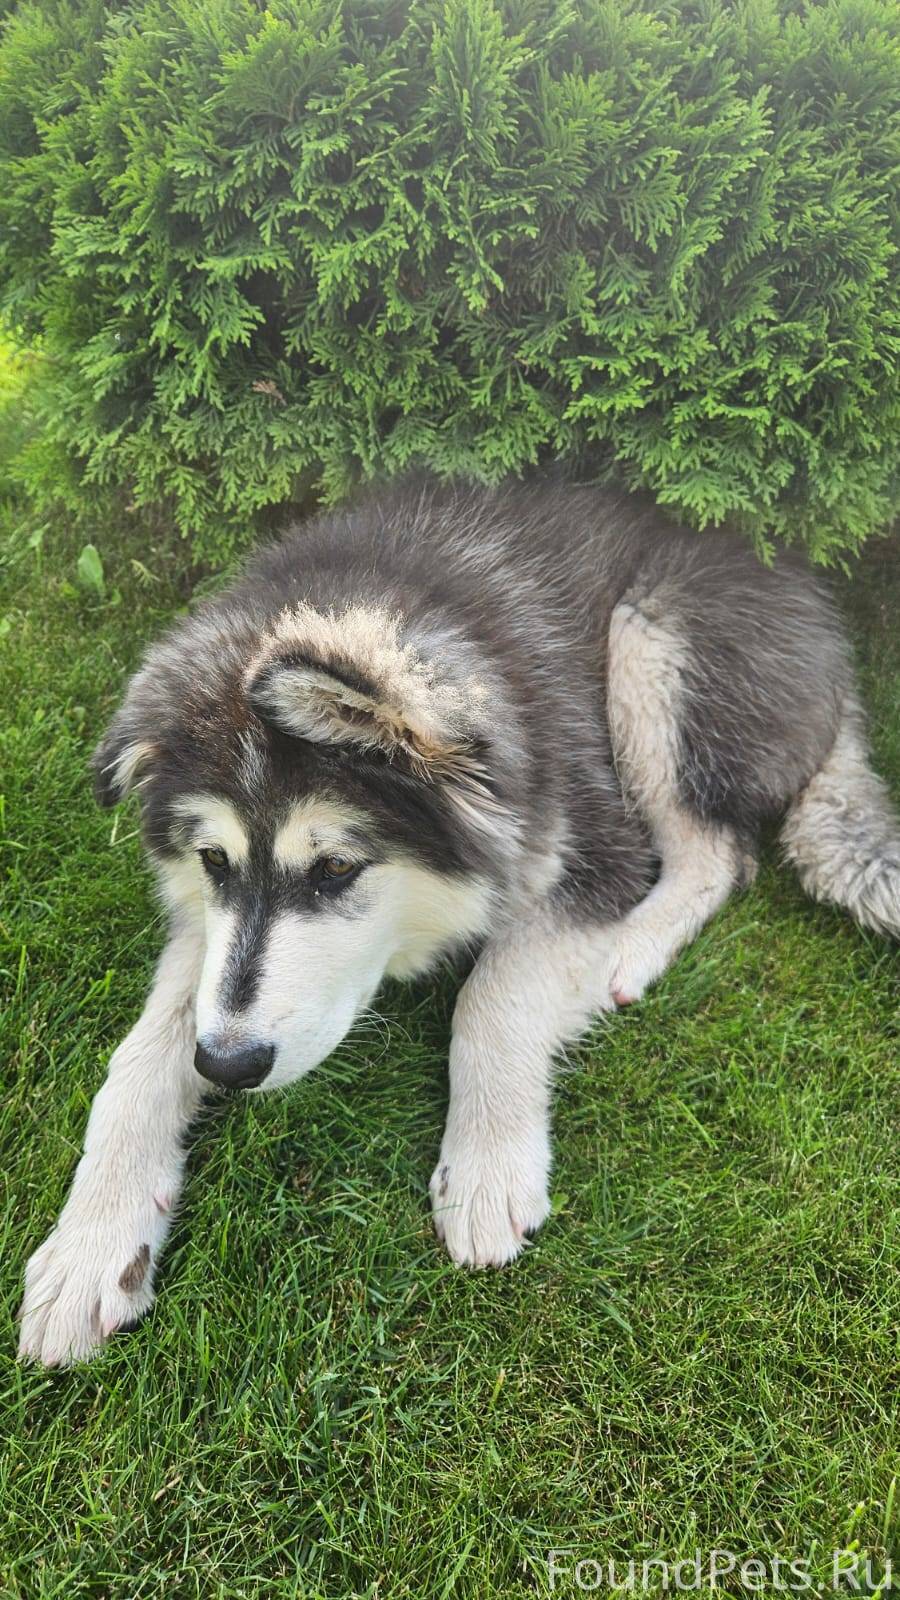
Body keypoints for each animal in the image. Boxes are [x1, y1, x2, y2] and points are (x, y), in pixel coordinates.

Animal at [18, 478, 899, 1365]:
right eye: (213, 861)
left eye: (336, 868)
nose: (229, 1066)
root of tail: (796, 571)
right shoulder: (205, 937)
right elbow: (138, 1060)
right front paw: (91, 1248)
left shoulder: (592, 846)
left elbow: (492, 996)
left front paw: (487, 1165)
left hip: (652, 638)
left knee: (718, 854)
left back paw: (629, 952)